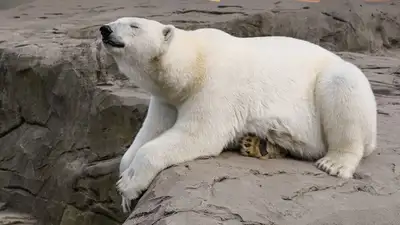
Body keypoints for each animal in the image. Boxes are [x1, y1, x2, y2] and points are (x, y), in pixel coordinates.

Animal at [98, 16, 376, 212]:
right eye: (117, 20)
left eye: (134, 25)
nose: (105, 29)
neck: (194, 63)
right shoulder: (166, 99)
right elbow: (150, 131)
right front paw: (125, 188)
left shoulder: (216, 84)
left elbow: (199, 135)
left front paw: (129, 184)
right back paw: (257, 143)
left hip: (334, 86)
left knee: (342, 87)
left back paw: (334, 163)